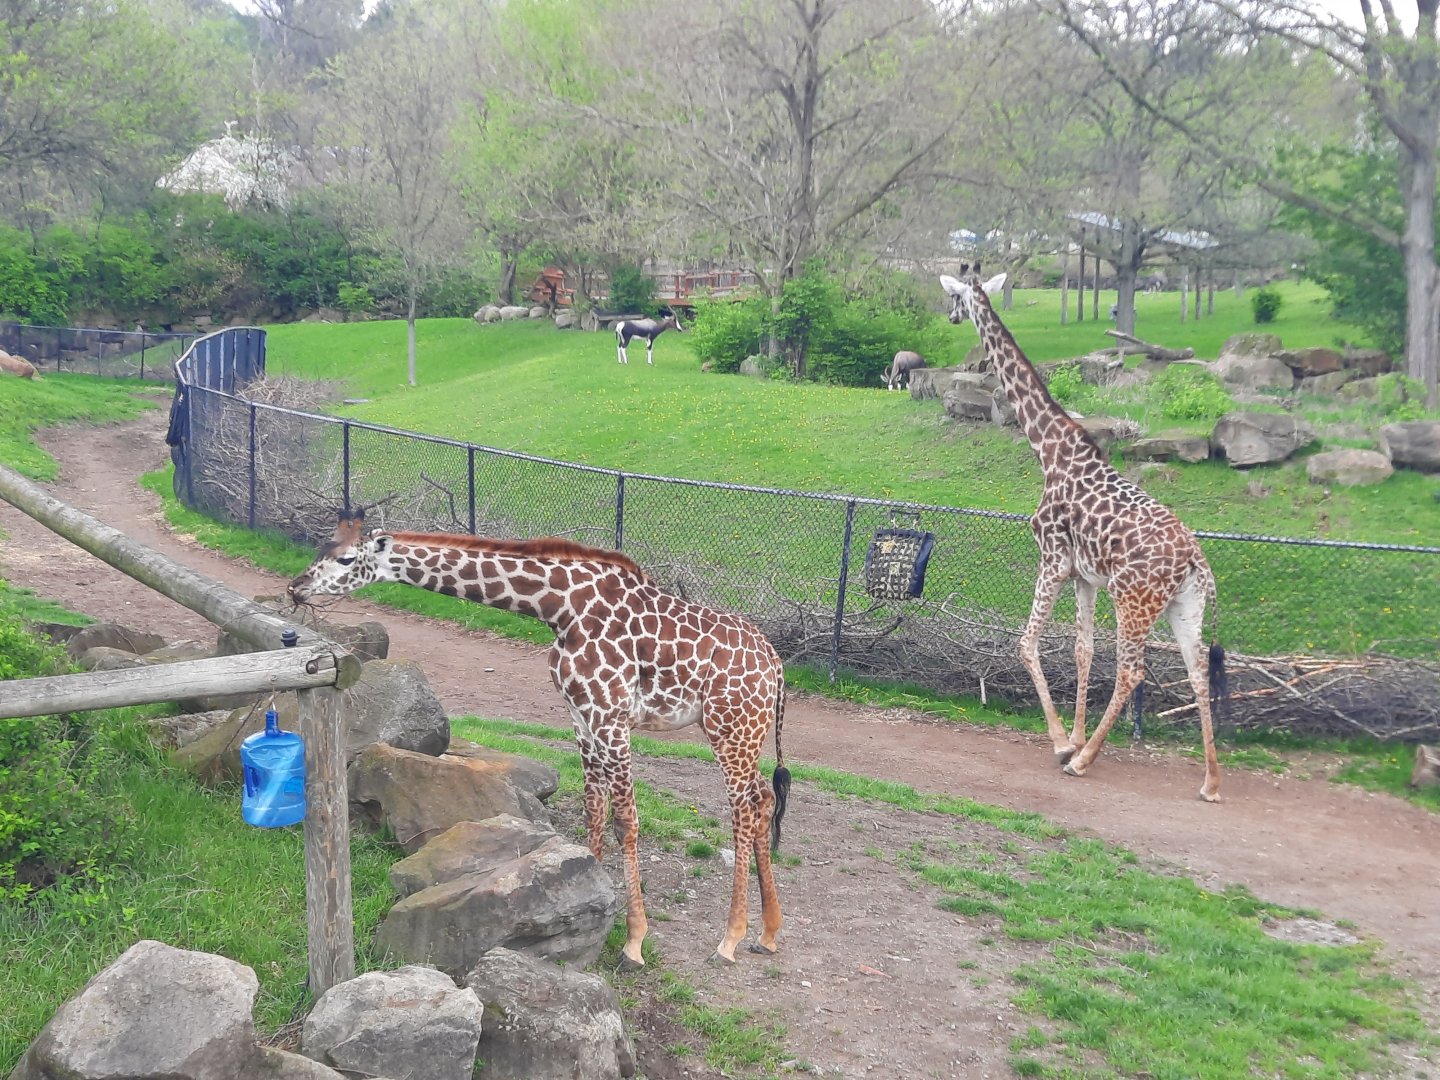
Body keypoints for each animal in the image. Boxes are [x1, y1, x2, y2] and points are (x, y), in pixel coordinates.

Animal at [288, 509, 792, 966]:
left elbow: (626, 821)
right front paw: (592, 898)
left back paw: (730, 938)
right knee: (764, 798)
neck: (561, 608)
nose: (296, 586)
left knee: (742, 811)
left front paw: (634, 941)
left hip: (731, 726)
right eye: (322, 547)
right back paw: (768, 932)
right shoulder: (581, 716)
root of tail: (776, 664)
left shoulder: (611, 715)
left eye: (346, 558)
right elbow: (594, 809)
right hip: (741, 729)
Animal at [940, 265, 1223, 801]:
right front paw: (1071, 735)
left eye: (955, 298)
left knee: (1133, 669)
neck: (1049, 449)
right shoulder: (1084, 576)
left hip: (1134, 600)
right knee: (1197, 670)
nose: (949, 318)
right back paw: (1211, 782)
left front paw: (1061, 744)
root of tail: (1195, 559)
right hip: (1184, 605)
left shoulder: (1052, 558)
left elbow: (1028, 643)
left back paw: (1086, 761)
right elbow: (1082, 650)